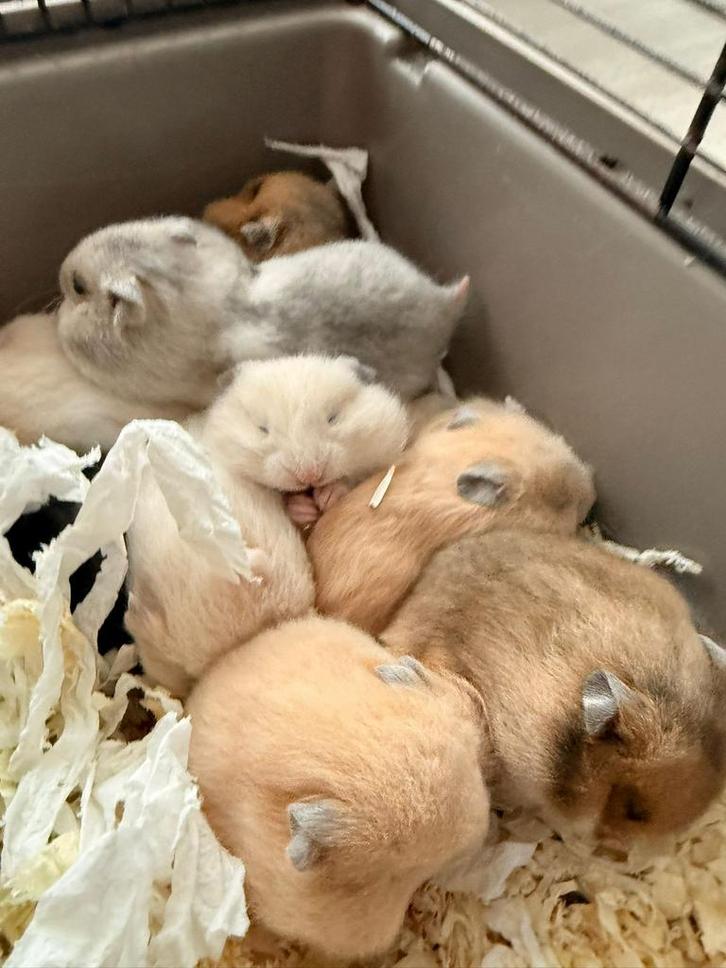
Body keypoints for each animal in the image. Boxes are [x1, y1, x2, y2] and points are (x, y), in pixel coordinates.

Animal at [125, 355, 407, 696]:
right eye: (262, 428)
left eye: (333, 418)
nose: (308, 474)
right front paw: (303, 506)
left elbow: (349, 481)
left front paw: (327, 495)